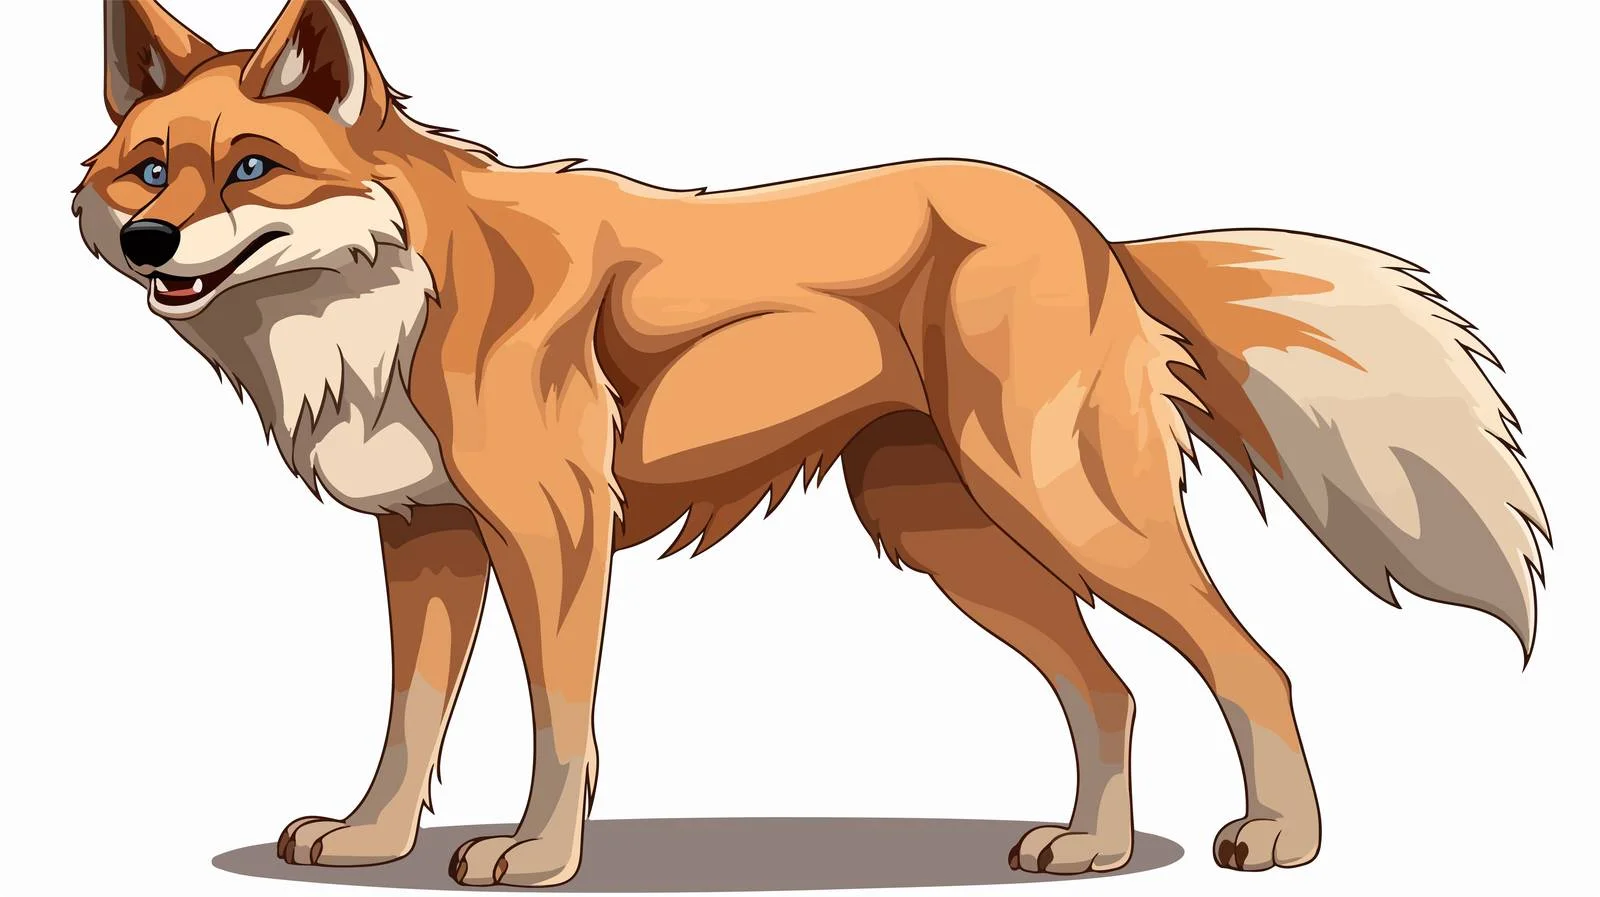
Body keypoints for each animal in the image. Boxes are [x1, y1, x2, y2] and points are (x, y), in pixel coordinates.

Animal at [73, 0, 1548, 886]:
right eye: (149, 169)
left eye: (253, 168)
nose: (147, 240)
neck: (396, 303)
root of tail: (1093, 230)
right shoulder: (427, 539)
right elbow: (407, 718)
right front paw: (373, 840)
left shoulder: (552, 534)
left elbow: (559, 718)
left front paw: (537, 856)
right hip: (951, 541)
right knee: (1111, 688)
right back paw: (1089, 845)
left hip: (1065, 510)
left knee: (1254, 663)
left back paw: (1284, 837)